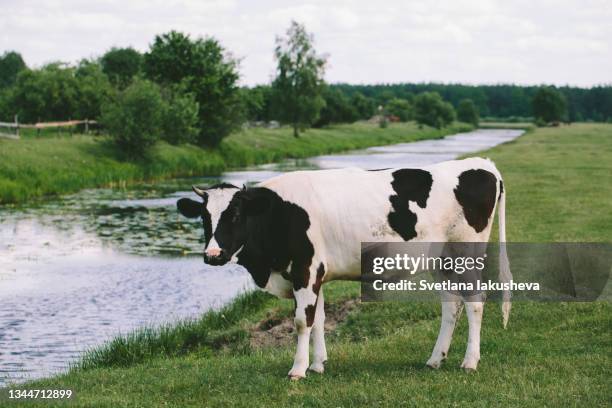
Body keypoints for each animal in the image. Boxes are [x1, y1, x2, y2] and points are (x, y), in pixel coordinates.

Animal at [176, 157, 512, 380]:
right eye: (205, 217)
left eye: (235, 215)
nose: (213, 254)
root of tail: (481, 164)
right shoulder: (316, 274)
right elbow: (319, 320)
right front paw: (317, 364)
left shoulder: (305, 269)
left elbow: (302, 321)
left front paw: (298, 370)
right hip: (441, 260)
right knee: (451, 305)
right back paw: (435, 359)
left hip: (466, 252)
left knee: (475, 301)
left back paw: (470, 362)